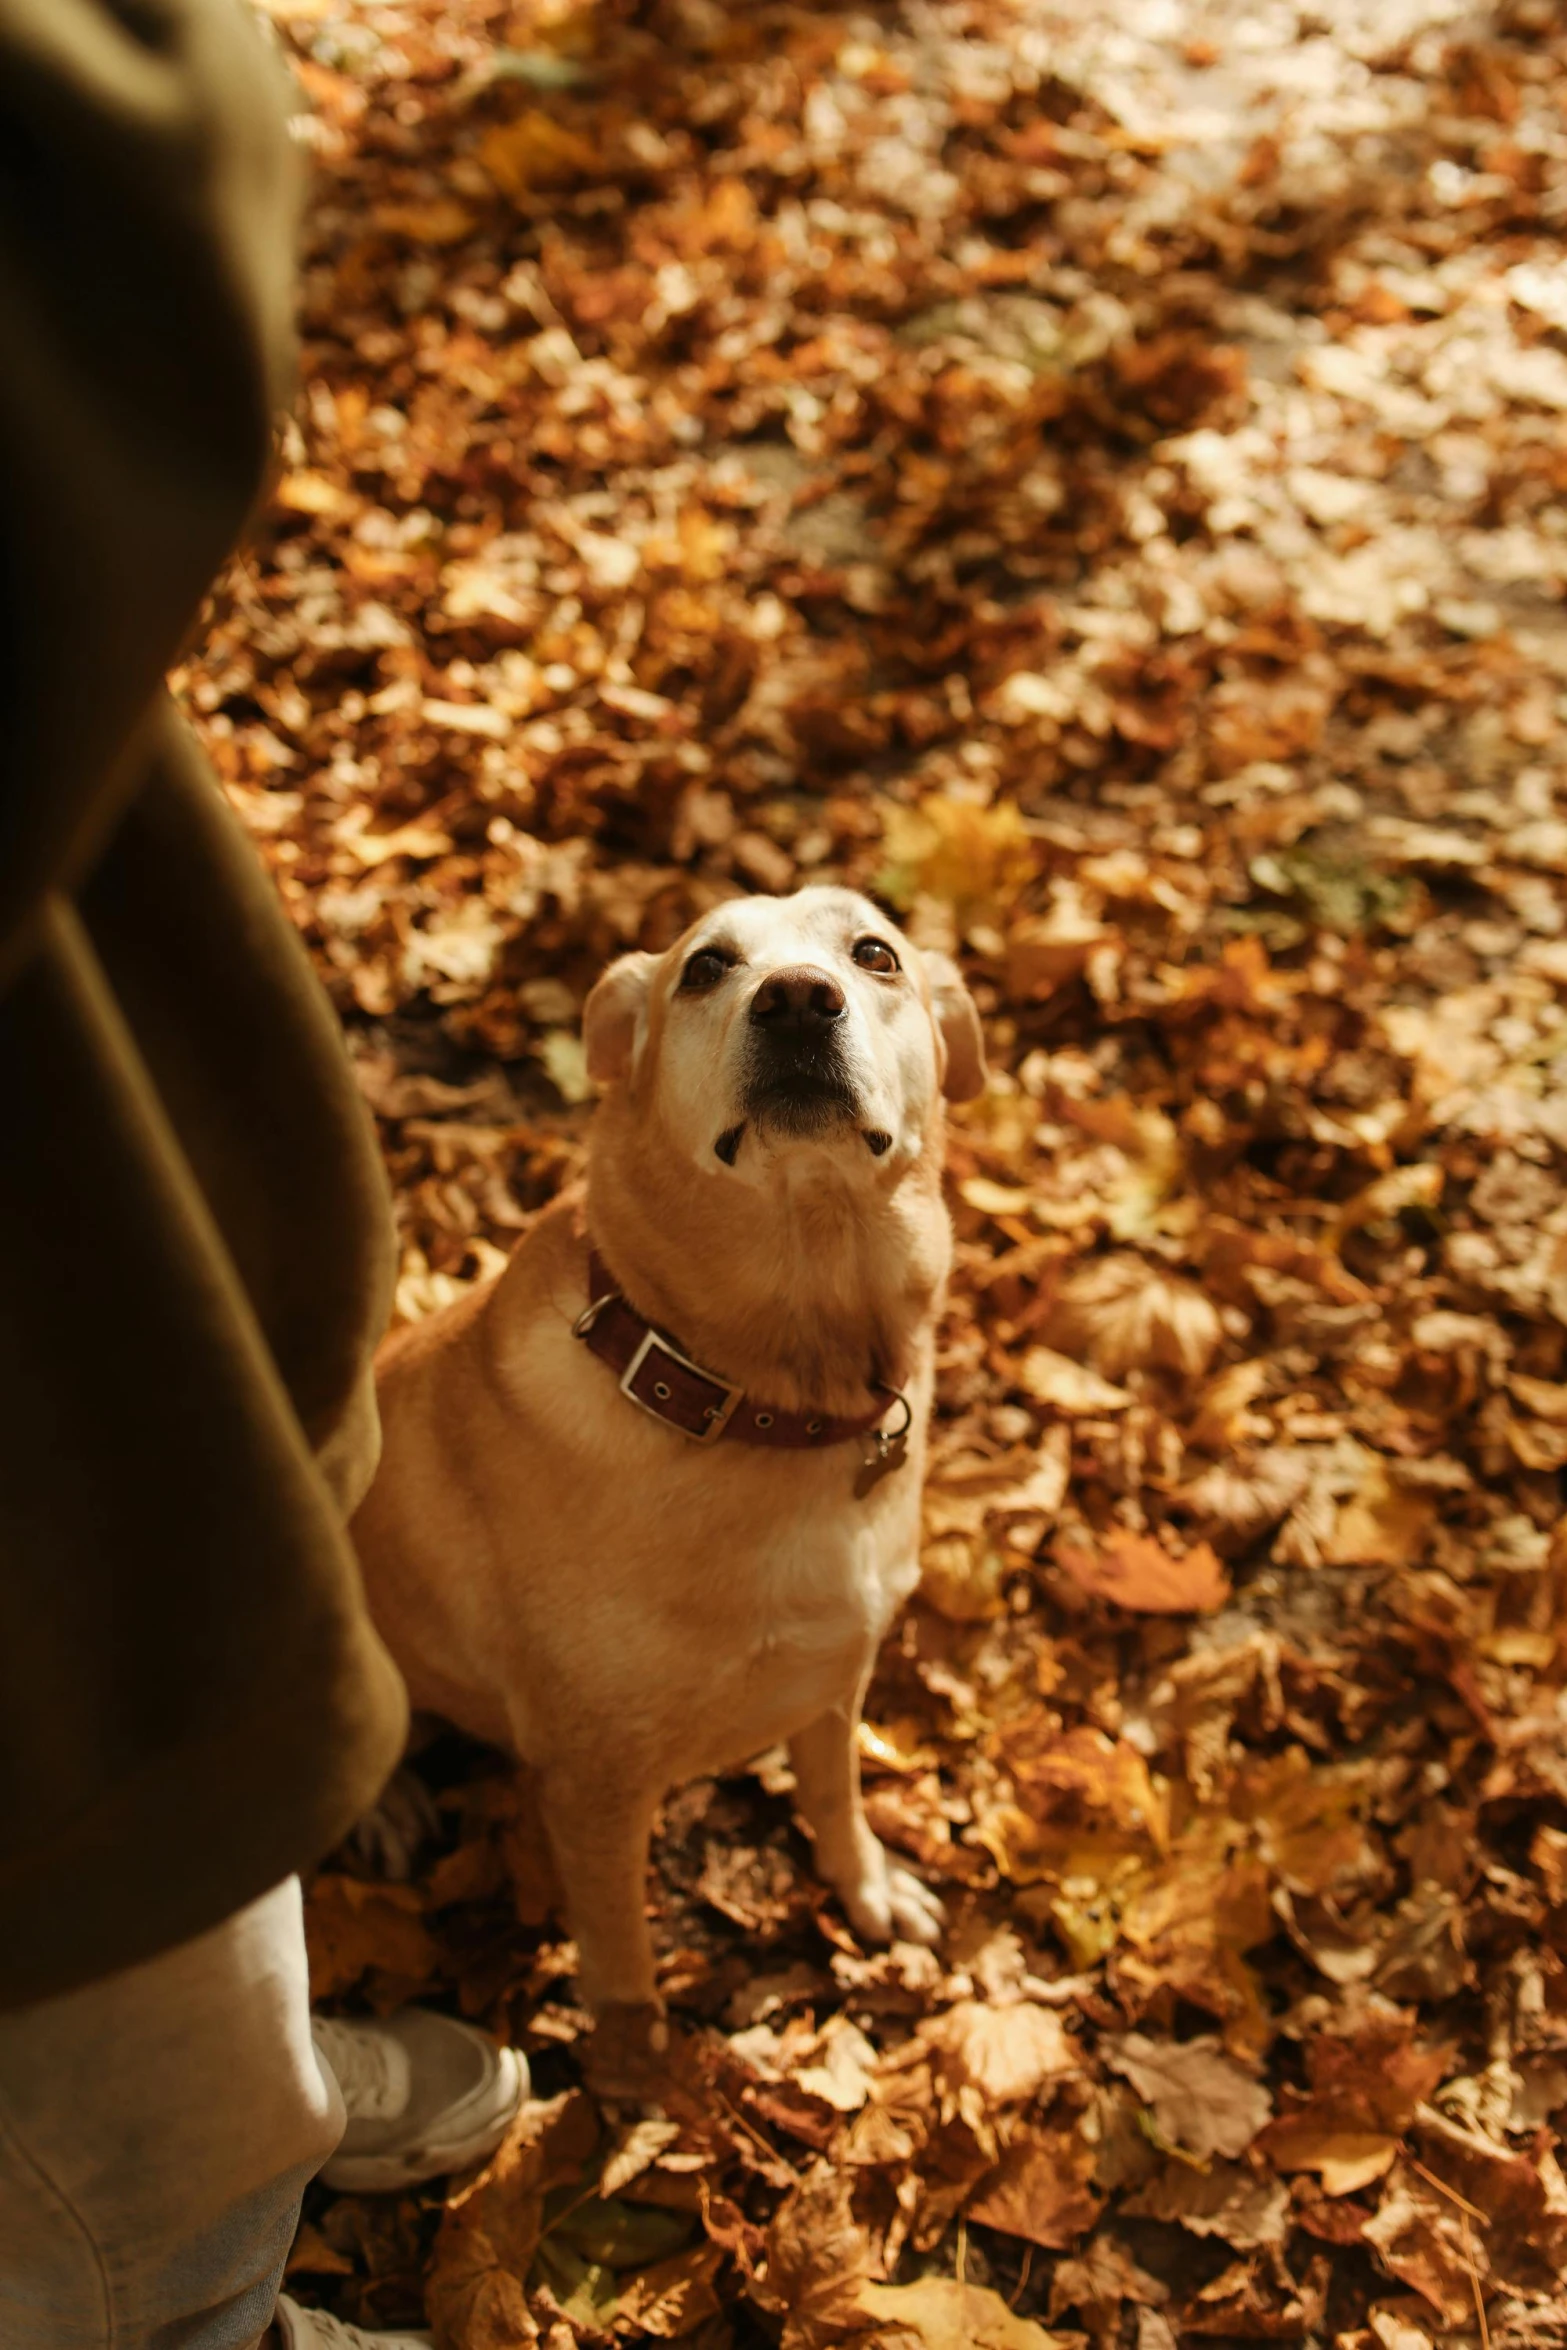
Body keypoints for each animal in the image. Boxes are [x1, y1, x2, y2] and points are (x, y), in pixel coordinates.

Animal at [354, 883, 986, 2020]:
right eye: (706, 967)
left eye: (874, 953)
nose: (795, 999)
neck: (763, 1397)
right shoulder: (593, 1784)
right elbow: (622, 1969)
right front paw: (637, 2063)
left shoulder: (837, 1674)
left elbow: (835, 1794)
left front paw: (864, 1886)